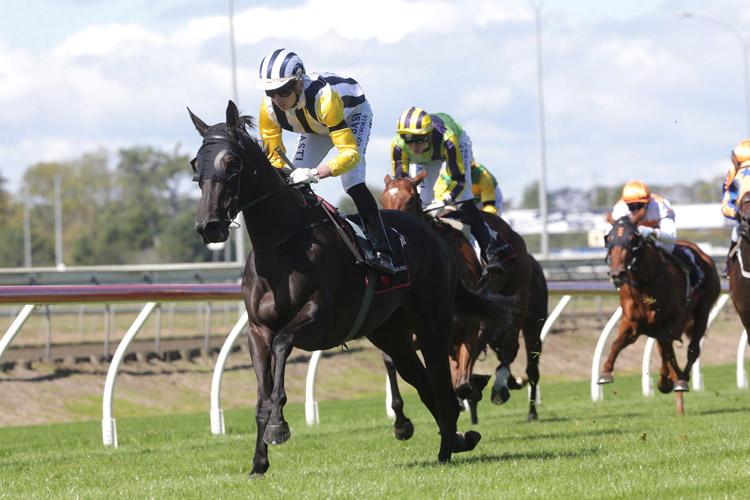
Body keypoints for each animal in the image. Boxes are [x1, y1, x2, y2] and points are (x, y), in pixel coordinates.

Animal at [188, 100, 516, 476]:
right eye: (196, 163)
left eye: (232, 162)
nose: (208, 225)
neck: (282, 245)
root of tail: (436, 238)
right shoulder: (258, 330)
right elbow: (262, 395)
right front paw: (259, 462)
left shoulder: (320, 320)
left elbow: (283, 346)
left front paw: (279, 426)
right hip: (391, 333)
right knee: (421, 382)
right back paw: (458, 439)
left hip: (434, 324)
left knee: (444, 388)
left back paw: (448, 448)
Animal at [382, 172, 552, 422]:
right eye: (382, 200)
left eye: (412, 200)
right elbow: (395, 361)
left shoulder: (468, 329)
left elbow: (462, 382)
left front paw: (473, 390)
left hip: (525, 313)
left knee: (520, 356)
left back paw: (514, 398)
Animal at [600, 213, 724, 412]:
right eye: (608, 238)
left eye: (633, 239)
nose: (616, 273)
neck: (644, 284)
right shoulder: (631, 324)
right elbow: (616, 344)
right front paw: (605, 372)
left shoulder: (674, 322)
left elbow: (667, 349)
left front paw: (668, 380)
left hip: (703, 310)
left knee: (693, 349)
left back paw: (681, 379)